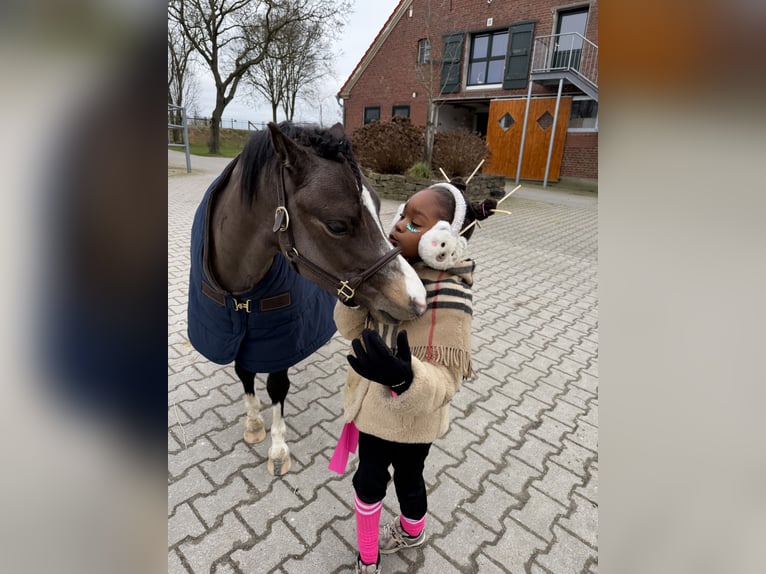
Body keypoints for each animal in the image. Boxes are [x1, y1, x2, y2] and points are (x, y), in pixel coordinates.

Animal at [187, 121, 427, 476]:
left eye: (379, 207)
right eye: (337, 226)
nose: (417, 300)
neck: (238, 287)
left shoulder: (279, 339)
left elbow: (276, 386)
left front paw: (278, 449)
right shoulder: (242, 332)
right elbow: (245, 373)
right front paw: (254, 424)